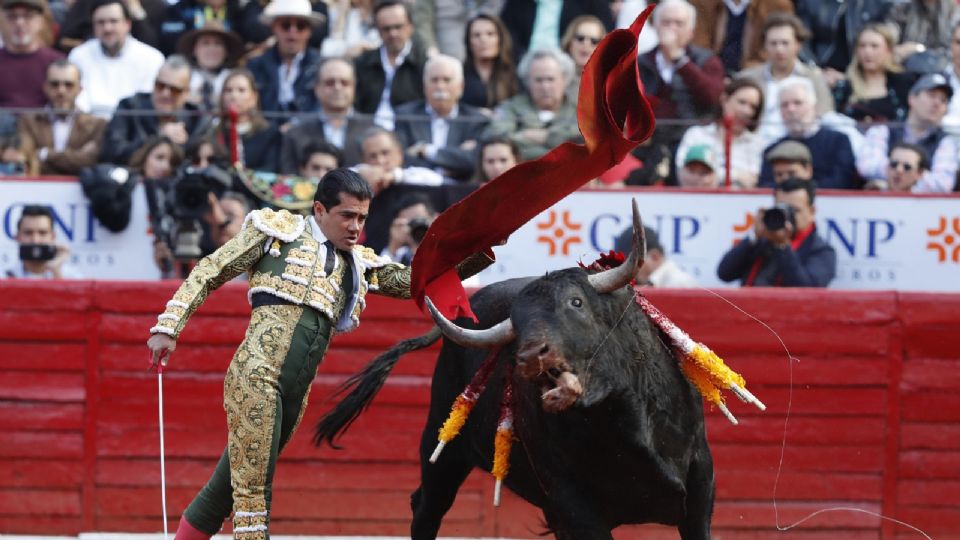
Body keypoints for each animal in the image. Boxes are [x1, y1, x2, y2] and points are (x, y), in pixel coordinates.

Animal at [316, 204, 712, 540]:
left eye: (576, 302)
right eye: (517, 327)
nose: (532, 356)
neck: (619, 417)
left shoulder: (700, 484)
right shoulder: (574, 504)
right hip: (442, 444)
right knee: (427, 507)